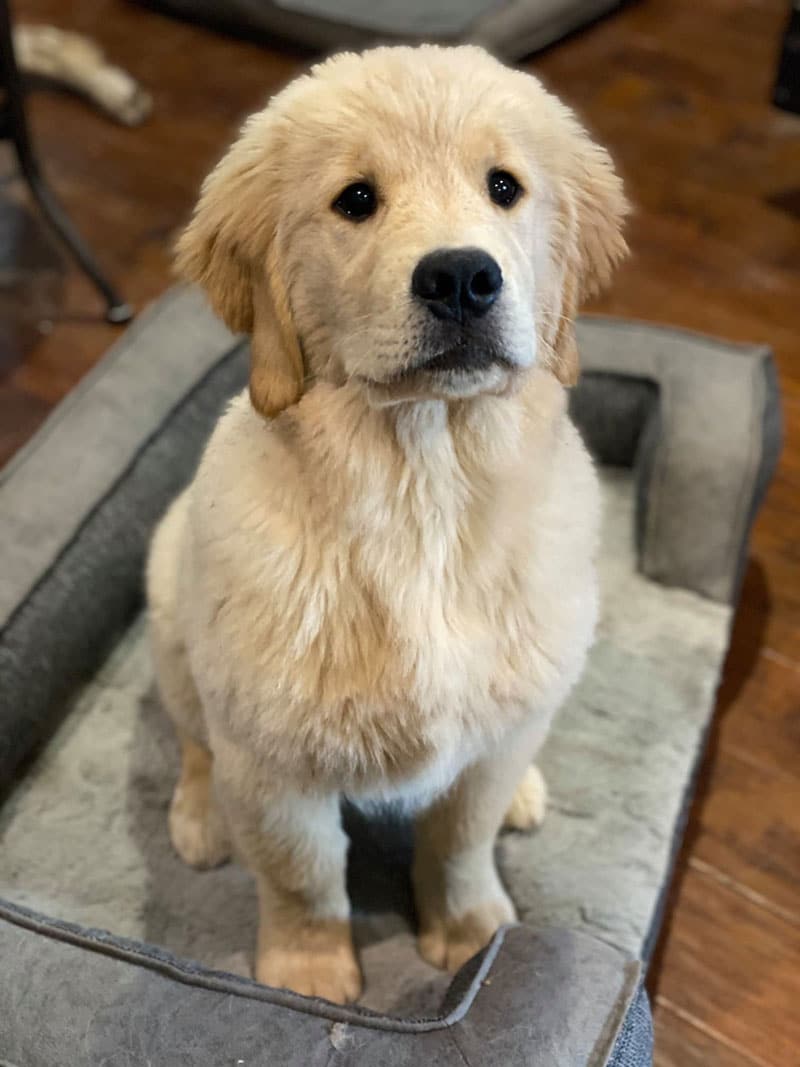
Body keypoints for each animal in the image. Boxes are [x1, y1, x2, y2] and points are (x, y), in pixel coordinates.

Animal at [147, 41, 631, 1002]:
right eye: (356, 199)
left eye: (504, 186)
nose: (462, 277)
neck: (423, 485)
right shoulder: (272, 754)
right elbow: (301, 871)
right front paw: (304, 974)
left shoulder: (489, 742)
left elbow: (461, 841)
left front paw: (473, 934)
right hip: (171, 602)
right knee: (192, 738)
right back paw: (200, 816)